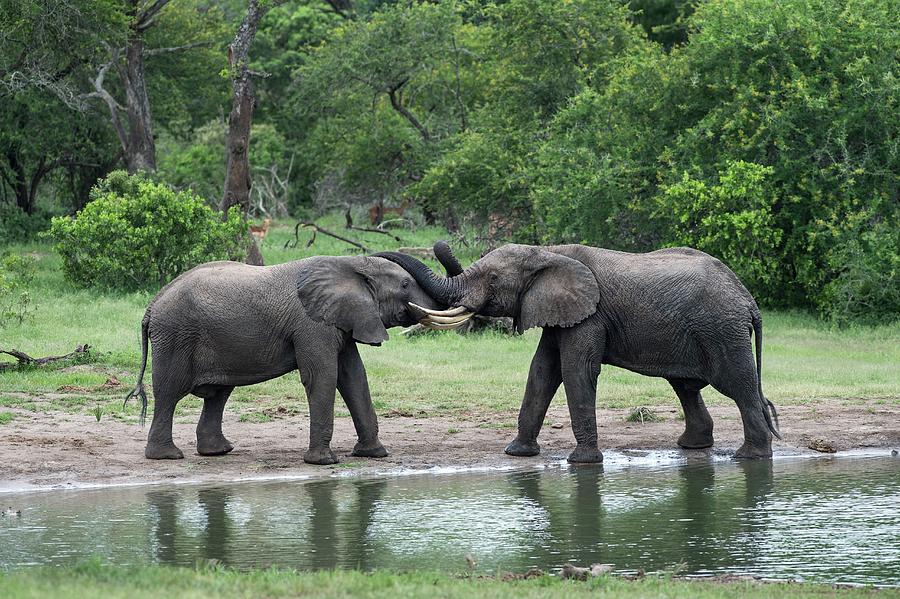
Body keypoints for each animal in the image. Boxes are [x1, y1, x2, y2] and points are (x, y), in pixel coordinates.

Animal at [126, 255, 446, 466]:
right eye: (405, 284)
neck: (351, 265)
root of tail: (152, 305)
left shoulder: (340, 320)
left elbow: (353, 377)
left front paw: (374, 455)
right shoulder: (311, 324)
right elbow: (323, 376)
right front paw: (324, 462)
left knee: (218, 394)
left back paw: (218, 452)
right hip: (175, 337)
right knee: (169, 393)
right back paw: (167, 456)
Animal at [376, 243, 776, 464]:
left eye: (492, 280)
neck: (548, 252)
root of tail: (749, 300)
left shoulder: (590, 315)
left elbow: (575, 369)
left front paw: (582, 463)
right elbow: (541, 371)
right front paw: (516, 453)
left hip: (722, 330)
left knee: (737, 385)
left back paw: (751, 457)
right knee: (686, 386)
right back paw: (694, 446)